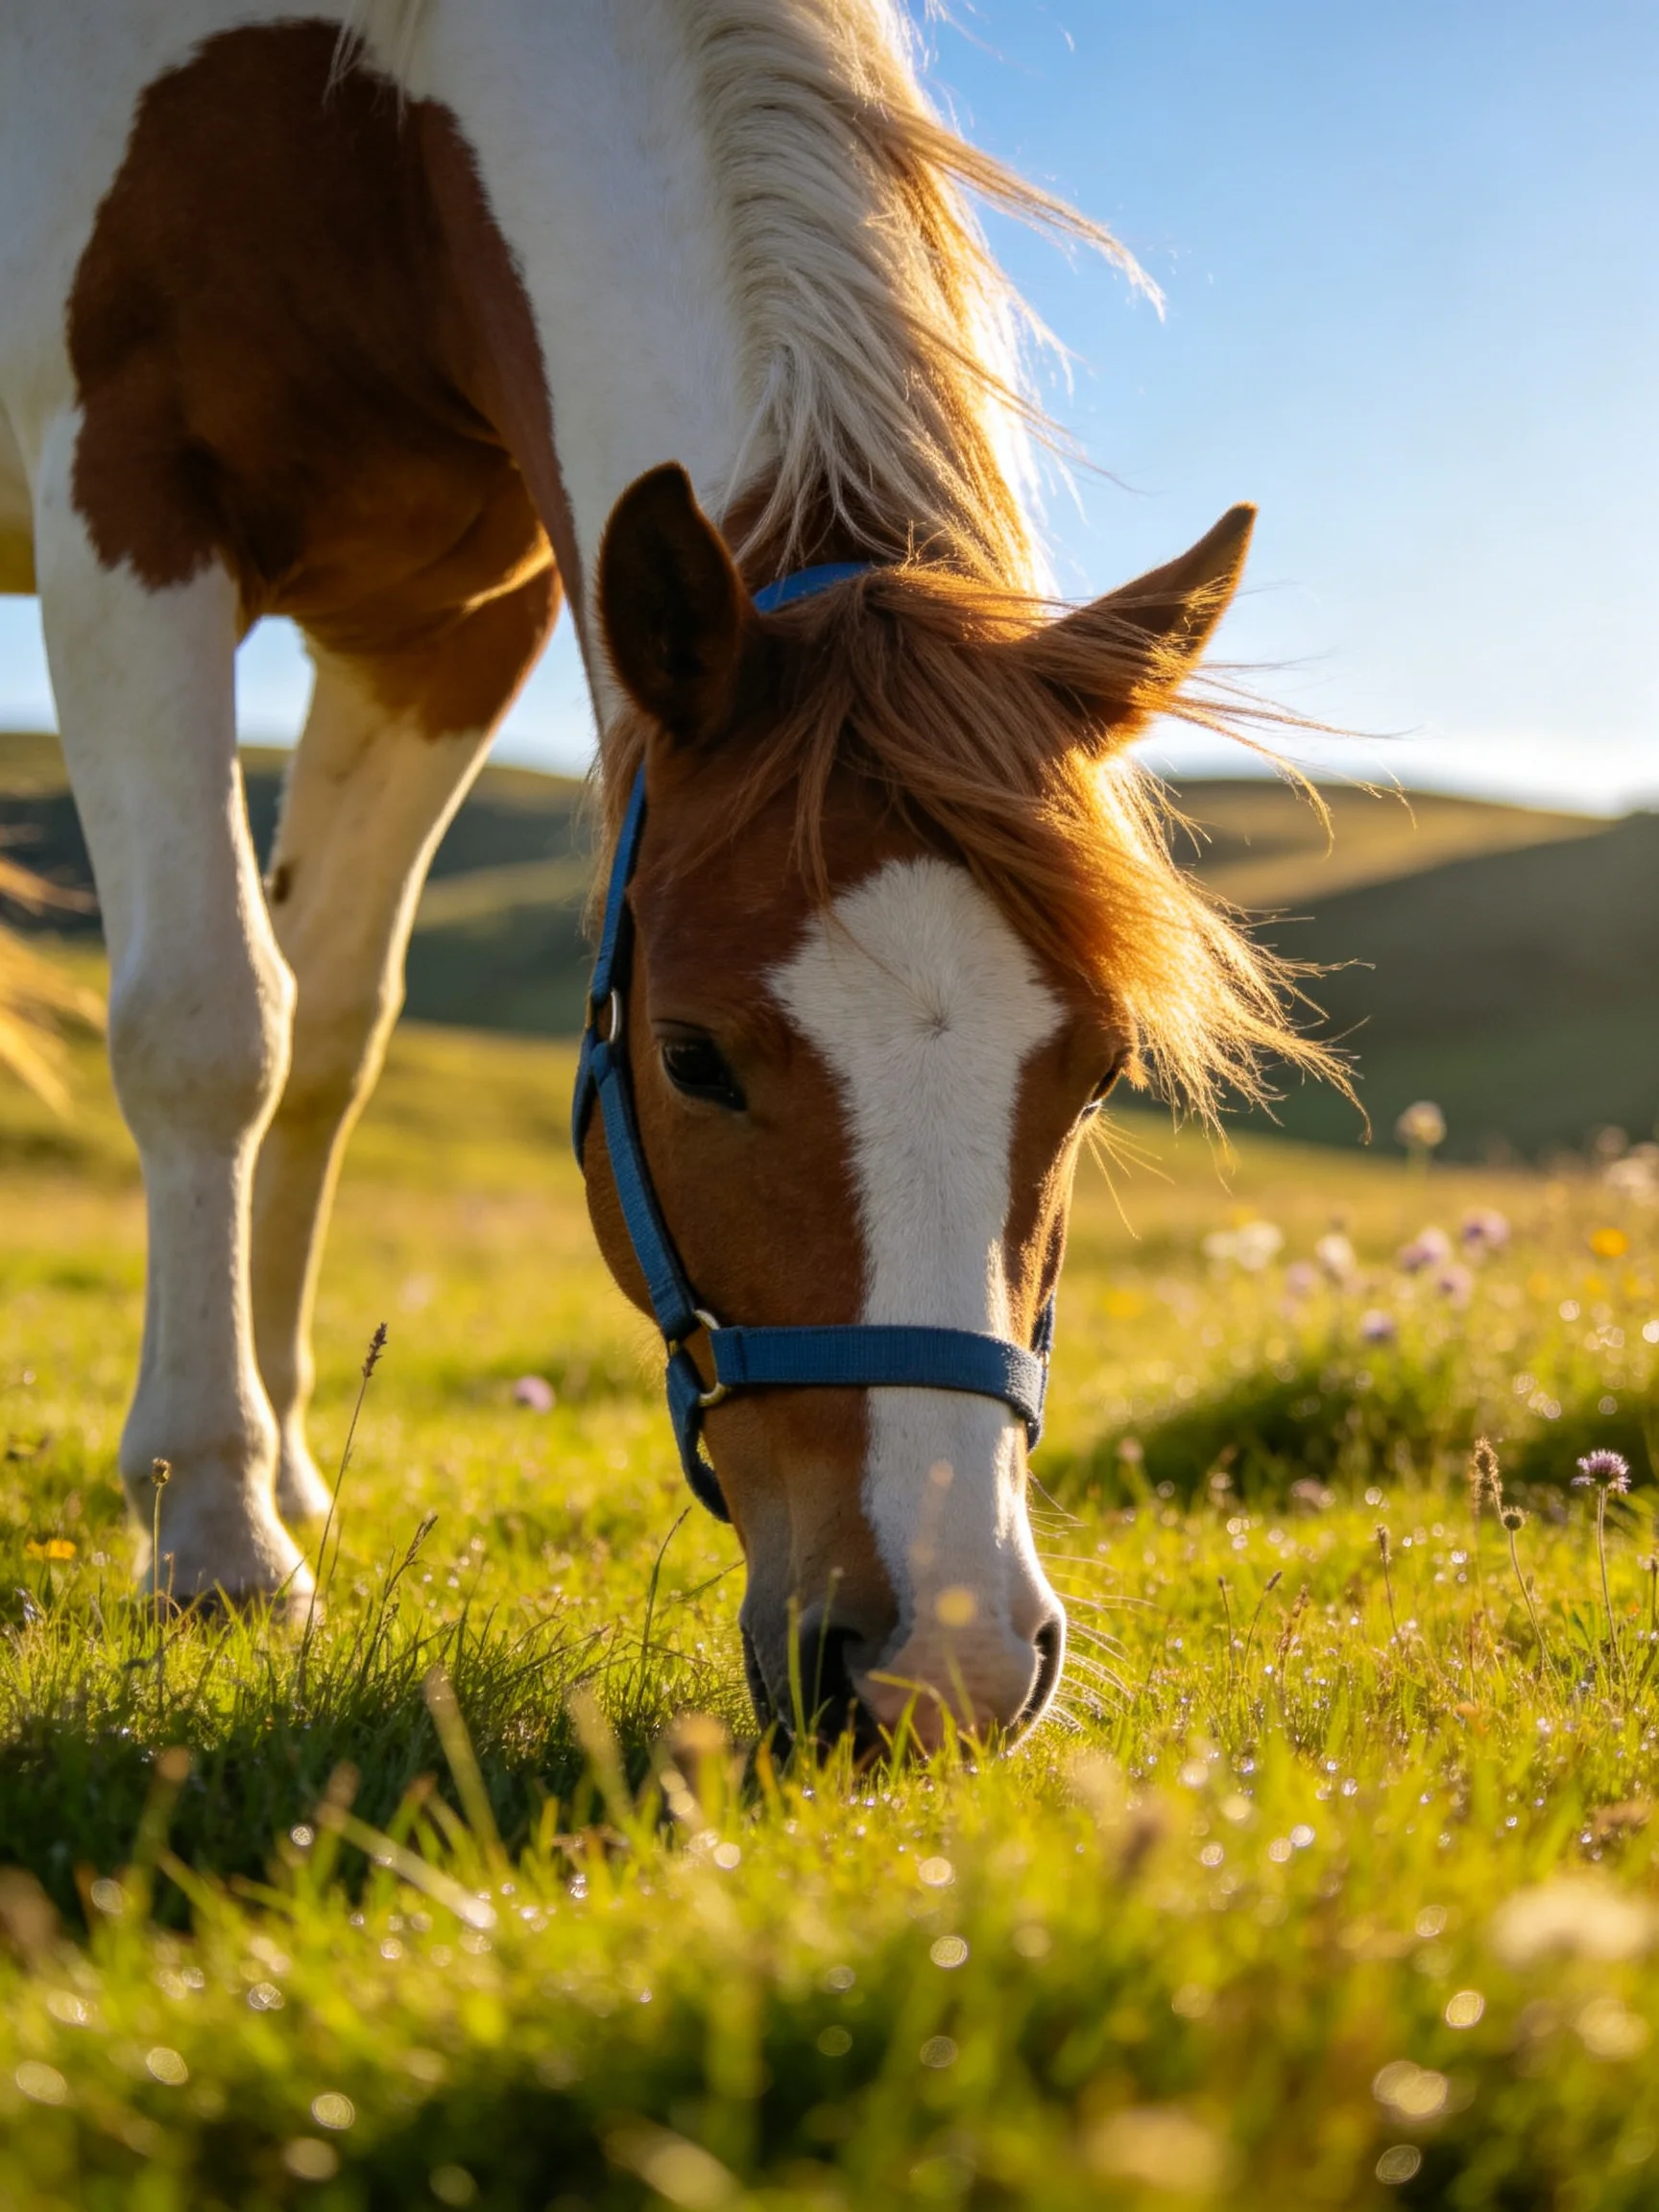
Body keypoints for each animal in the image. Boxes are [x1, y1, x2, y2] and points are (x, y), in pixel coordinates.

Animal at [0, 0, 1330, 1749]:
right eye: (691, 1058)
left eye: (1103, 1073)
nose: (945, 1663)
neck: (364, 112)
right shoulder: (128, 506)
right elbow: (215, 1021)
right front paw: (214, 1529)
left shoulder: (443, 629)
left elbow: (329, 1035)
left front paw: (281, 1473)